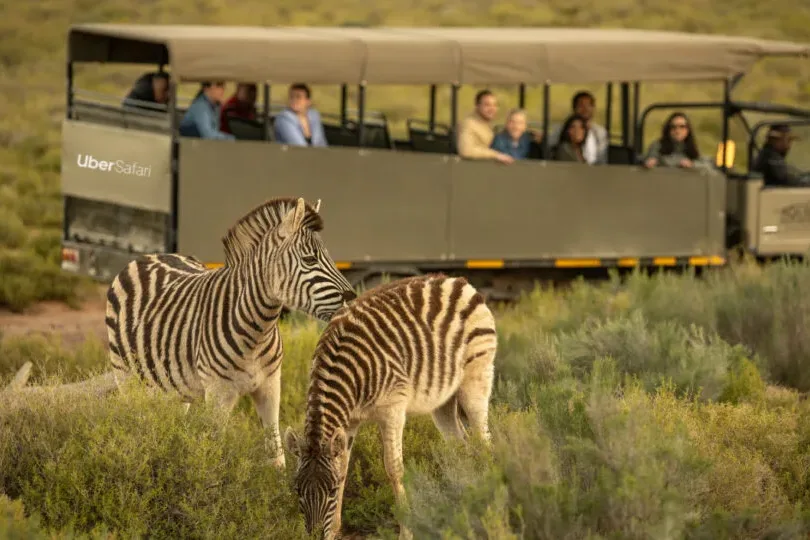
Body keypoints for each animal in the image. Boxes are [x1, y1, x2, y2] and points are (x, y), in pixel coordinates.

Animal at [105, 196, 356, 466]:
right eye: (310, 260)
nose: (354, 300)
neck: (258, 331)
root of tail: (147, 256)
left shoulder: (270, 386)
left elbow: (276, 454)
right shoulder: (218, 393)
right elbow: (215, 454)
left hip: (174, 386)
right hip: (125, 375)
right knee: (136, 422)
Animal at [284, 274, 498, 540]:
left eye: (331, 490)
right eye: (297, 489)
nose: (315, 536)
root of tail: (458, 281)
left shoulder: (392, 408)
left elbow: (393, 469)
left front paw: (406, 531)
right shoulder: (349, 420)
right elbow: (343, 466)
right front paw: (334, 530)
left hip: (476, 376)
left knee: (484, 441)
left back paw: (489, 498)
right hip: (444, 401)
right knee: (461, 446)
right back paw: (466, 498)